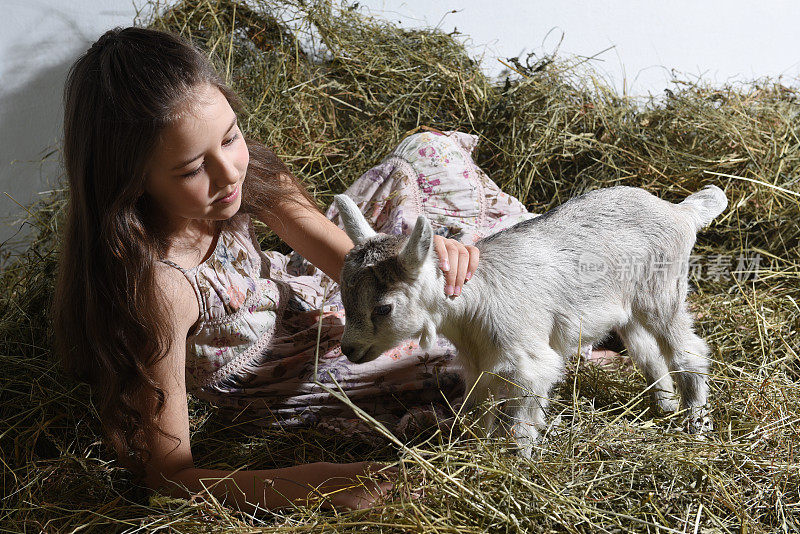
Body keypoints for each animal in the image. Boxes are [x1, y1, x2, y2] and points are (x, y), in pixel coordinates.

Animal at [332, 185, 724, 456]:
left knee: (688, 351)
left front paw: (519, 462)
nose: (348, 349)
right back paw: (665, 407)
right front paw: (479, 451)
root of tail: (681, 211)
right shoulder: (480, 364)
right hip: (629, 310)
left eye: (383, 308)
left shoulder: (528, 363)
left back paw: (697, 426)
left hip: (663, 292)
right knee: (649, 355)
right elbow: (482, 411)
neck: (469, 311)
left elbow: (520, 422)